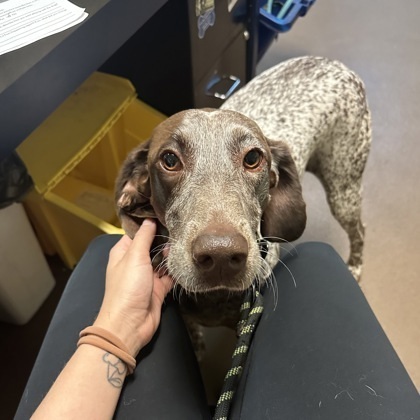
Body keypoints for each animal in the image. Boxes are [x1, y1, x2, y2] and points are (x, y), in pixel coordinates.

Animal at [114, 56, 370, 334]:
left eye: (253, 157)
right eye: (170, 159)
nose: (221, 256)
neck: (215, 298)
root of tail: (333, 62)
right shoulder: (193, 327)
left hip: (343, 188)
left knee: (360, 229)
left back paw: (355, 267)